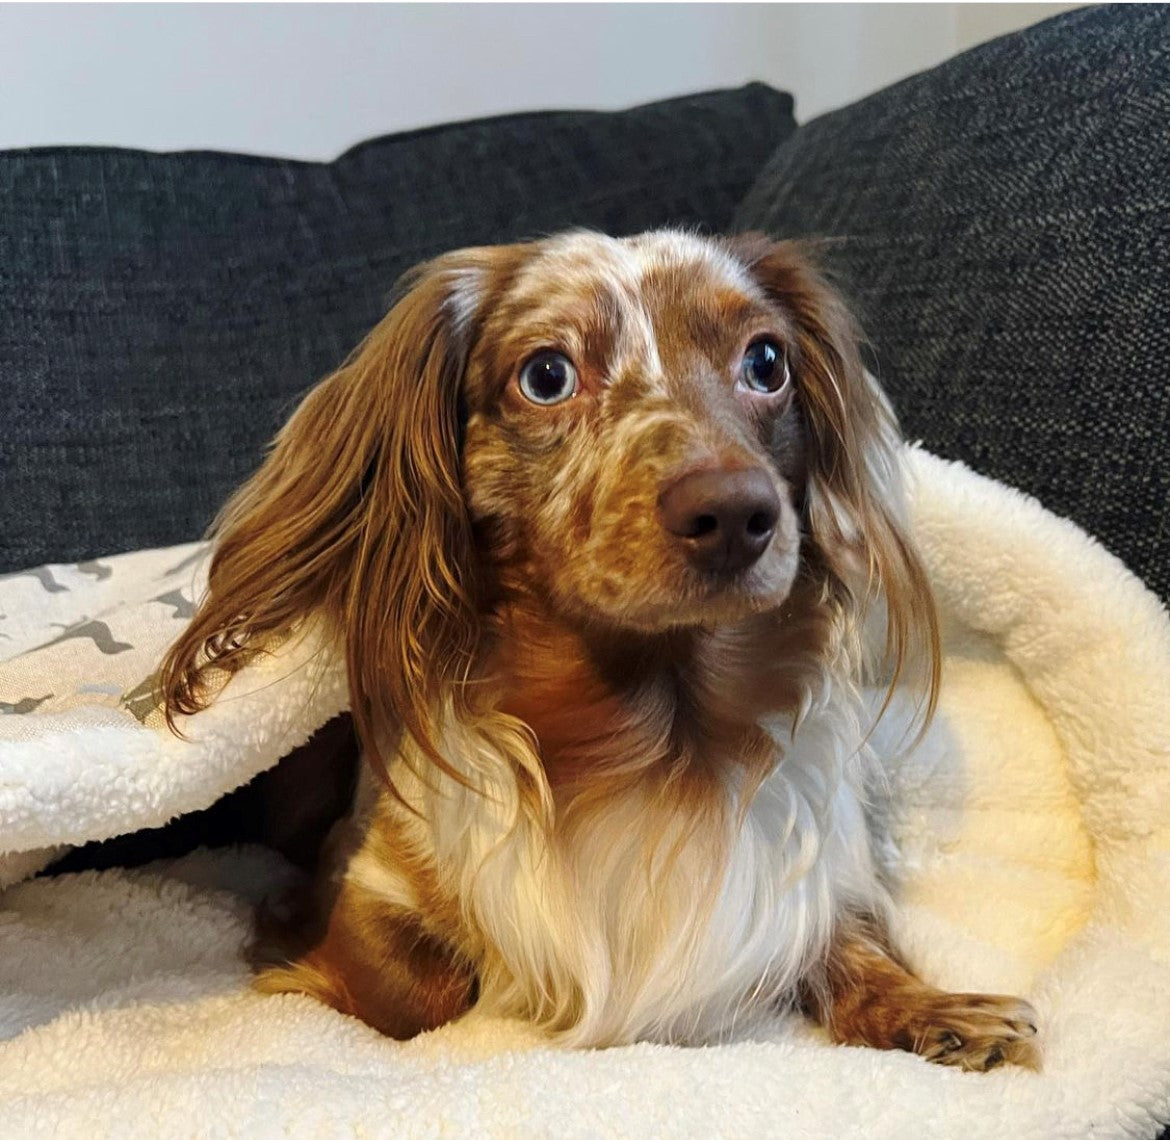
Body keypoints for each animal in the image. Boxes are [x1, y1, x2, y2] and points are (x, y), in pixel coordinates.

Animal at [160, 229, 1038, 1072]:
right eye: (546, 375)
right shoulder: (373, 868)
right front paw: (292, 948)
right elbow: (419, 992)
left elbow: (844, 937)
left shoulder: (797, 883)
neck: (652, 740)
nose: (735, 513)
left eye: (766, 362)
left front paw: (936, 1010)